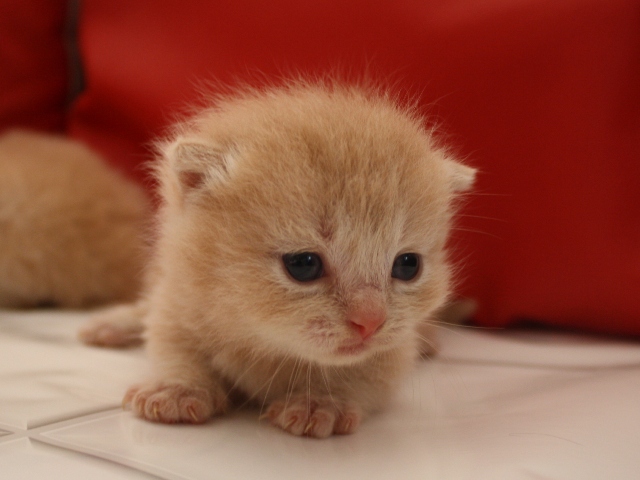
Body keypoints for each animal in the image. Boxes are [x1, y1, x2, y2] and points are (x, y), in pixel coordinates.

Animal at [80, 80, 472, 436]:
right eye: (303, 265)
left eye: (408, 265)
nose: (370, 322)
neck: (265, 342)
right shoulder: (182, 298)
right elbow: (170, 343)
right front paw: (177, 387)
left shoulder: (391, 351)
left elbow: (366, 372)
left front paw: (322, 401)